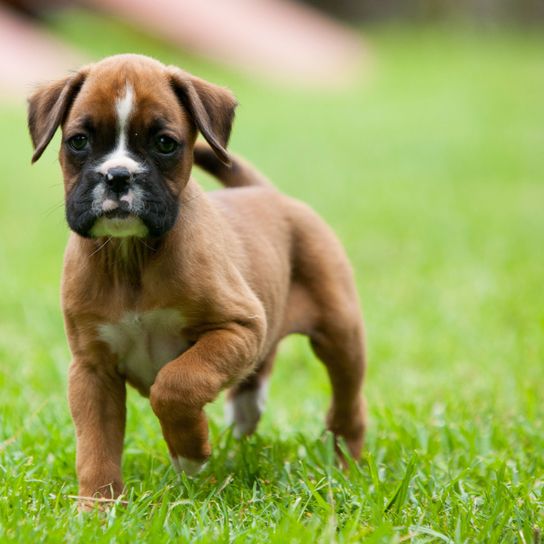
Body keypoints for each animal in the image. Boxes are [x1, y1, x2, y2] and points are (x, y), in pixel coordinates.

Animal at [25, 54, 366, 502]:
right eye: (78, 141)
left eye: (165, 144)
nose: (118, 175)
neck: (132, 257)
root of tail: (267, 193)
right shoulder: (92, 370)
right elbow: (95, 445)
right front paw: (98, 505)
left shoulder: (238, 328)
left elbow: (176, 383)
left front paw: (188, 452)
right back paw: (247, 409)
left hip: (340, 334)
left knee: (348, 402)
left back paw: (346, 461)